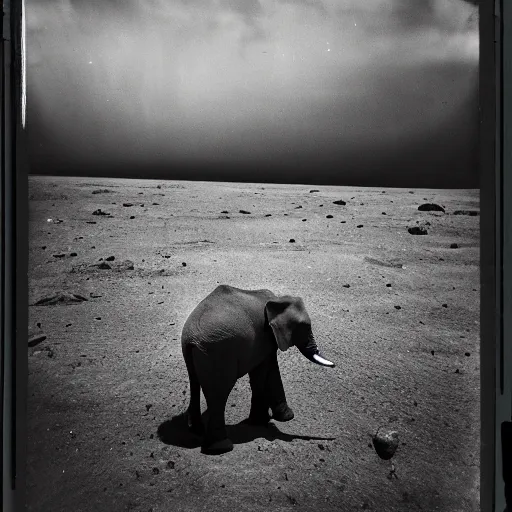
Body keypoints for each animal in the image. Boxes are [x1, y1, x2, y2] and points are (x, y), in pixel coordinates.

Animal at [181, 284, 336, 456]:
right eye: (305, 327)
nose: (335, 365)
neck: (277, 300)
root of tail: (192, 338)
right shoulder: (264, 337)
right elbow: (262, 373)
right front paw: (262, 421)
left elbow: (271, 371)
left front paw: (280, 418)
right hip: (217, 354)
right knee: (219, 394)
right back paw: (221, 448)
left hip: (192, 351)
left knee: (194, 382)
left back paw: (196, 430)